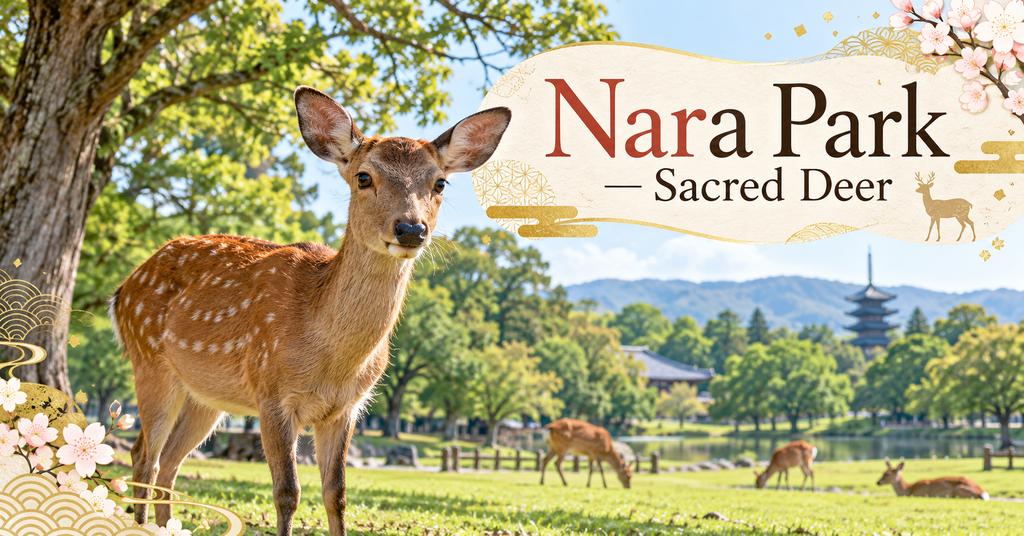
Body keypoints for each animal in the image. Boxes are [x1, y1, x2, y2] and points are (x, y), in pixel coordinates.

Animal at [108, 86, 511, 536]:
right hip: (150, 364)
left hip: (206, 396)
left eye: (440, 182)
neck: (332, 361)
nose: (411, 229)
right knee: (144, 456)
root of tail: (121, 291)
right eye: (364, 177)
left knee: (169, 461)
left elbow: (337, 494)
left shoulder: (347, 407)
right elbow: (288, 492)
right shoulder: (271, 392)